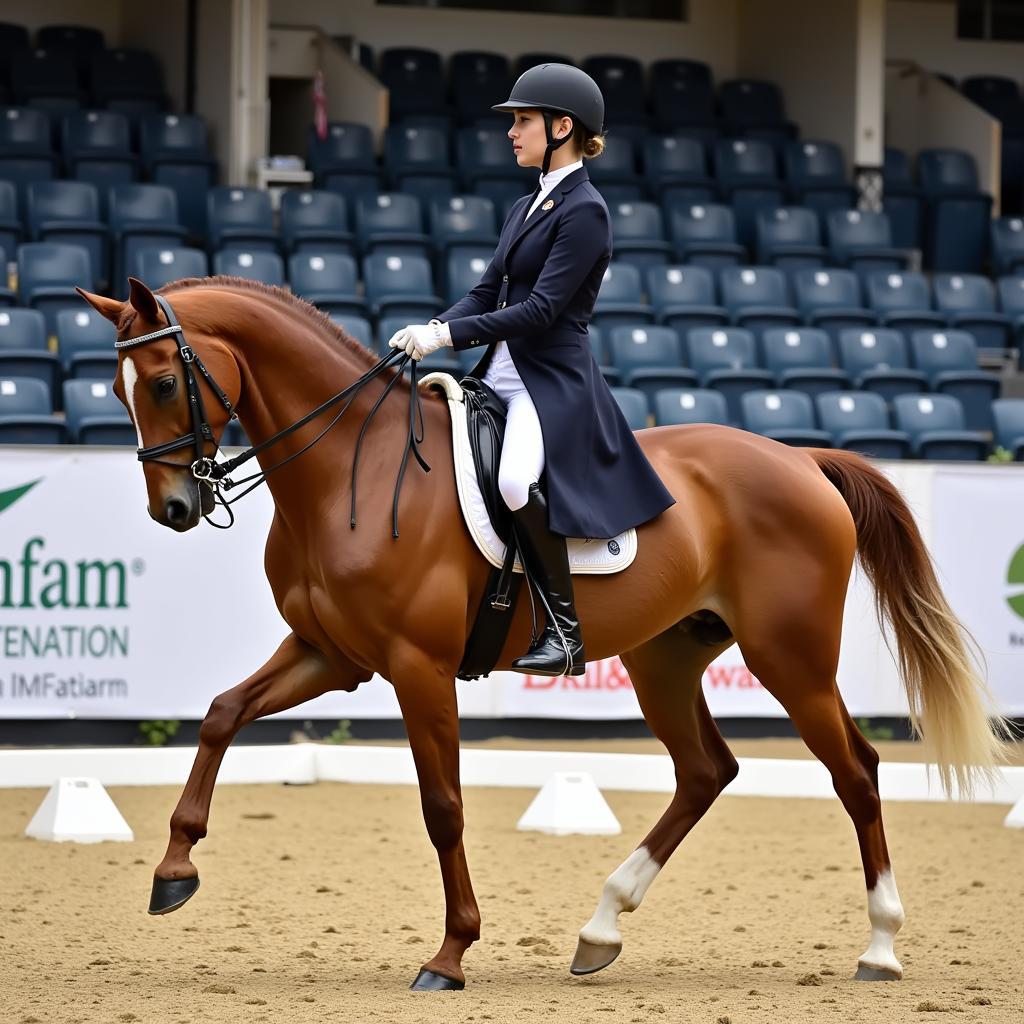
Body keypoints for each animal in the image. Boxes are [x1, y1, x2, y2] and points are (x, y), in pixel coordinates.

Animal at [75, 278, 1003, 991]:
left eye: (162, 384)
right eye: (116, 392)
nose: (175, 509)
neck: (348, 468)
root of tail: (800, 458)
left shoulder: (416, 667)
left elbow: (442, 806)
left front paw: (450, 955)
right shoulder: (330, 656)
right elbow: (221, 714)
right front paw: (174, 871)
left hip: (792, 658)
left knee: (857, 771)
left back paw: (880, 946)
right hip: (667, 657)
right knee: (708, 770)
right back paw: (600, 931)